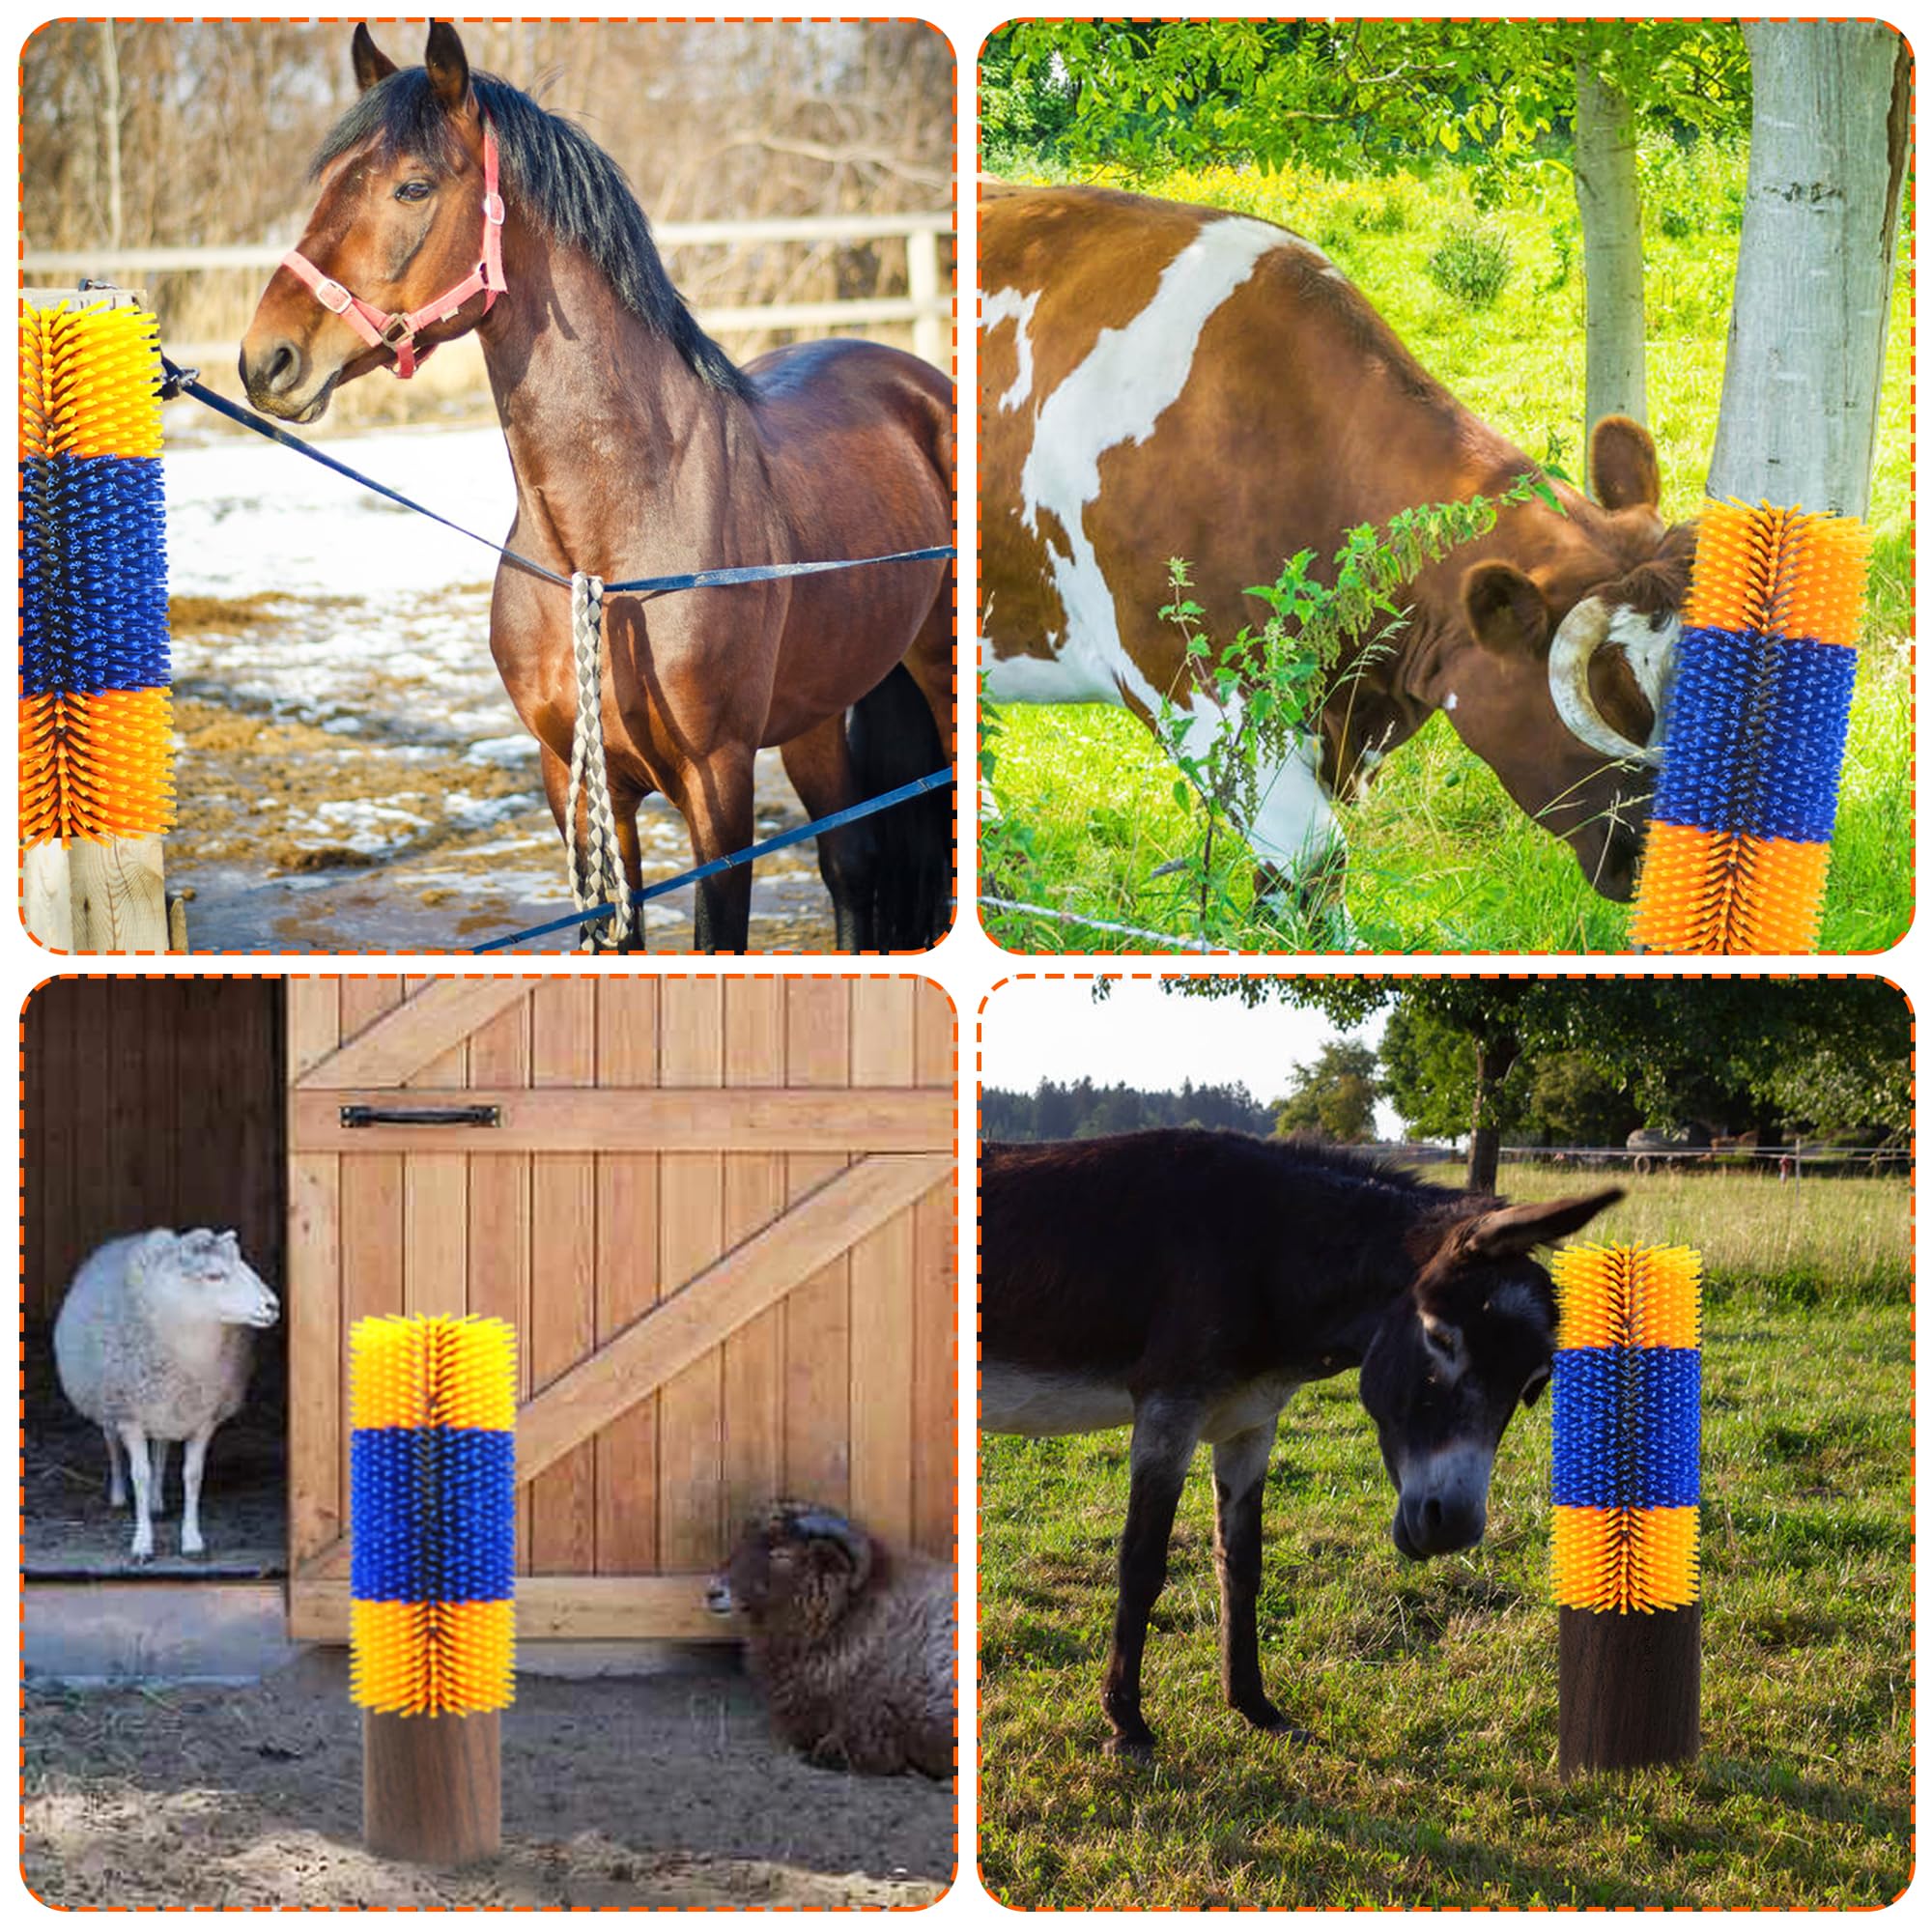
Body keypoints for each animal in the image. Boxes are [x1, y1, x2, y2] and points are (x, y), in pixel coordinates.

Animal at [239, 21, 953, 951]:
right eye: (326, 183)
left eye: (413, 186)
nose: (267, 360)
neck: (609, 546)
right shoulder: (578, 786)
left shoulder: (718, 786)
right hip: (820, 711)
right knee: (852, 865)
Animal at [980, 1128, 1621, 1760]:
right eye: (1441, 1338)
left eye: (1534, 1385)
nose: (1452, 1530)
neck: (1269, 1252)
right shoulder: (1168, 1410)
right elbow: (1141, 1563)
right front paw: (1127, 1722)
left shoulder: (1250, 1424)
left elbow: (1241, 1564)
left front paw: (1253, 1707)